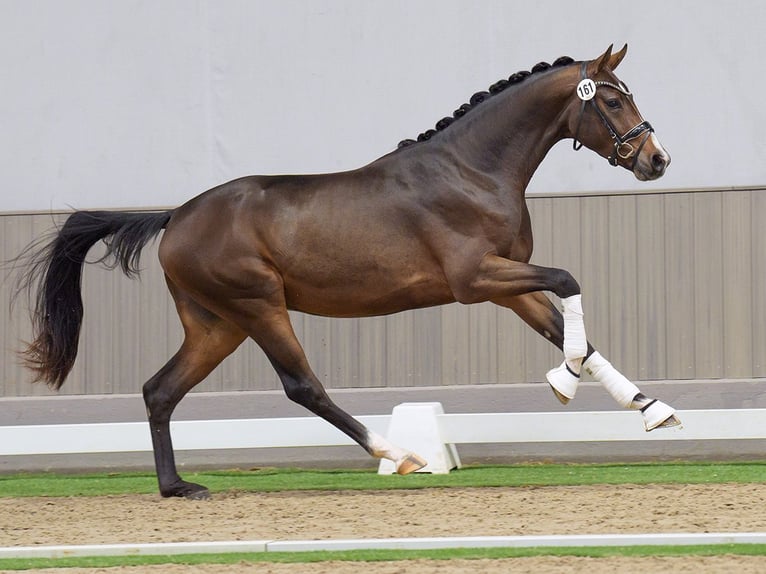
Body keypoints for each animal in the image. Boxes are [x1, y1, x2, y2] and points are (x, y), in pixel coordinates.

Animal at [15, 46, 680, 500]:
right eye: (613, 100)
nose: (657, 159)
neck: (472, 170)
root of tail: (175, 216)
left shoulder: (508, 283)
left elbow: (576, 335)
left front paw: (652, 410)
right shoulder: (476, 281)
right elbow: (569, 283)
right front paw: (563, 382)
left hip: (216, 325)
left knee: (160, 390)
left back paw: (178, 487)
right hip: (259, 306)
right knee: (301, 385)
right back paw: (401, 454)